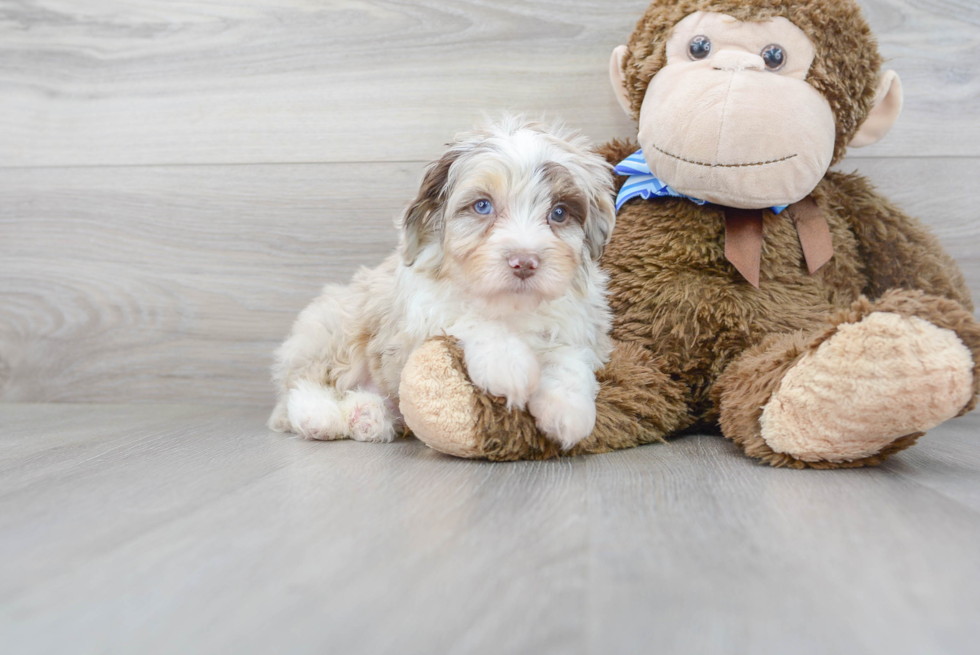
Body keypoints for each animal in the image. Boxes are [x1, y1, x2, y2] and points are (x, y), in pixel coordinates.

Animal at [266, 115, 620, 448]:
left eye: (559, 213)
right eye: (482, 206)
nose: (524, 262)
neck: (510, 308)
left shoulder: (579, 325)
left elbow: (568, 358)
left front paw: (569, 411)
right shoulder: (420, 315)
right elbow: (470, 318)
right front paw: (509, 364)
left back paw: (367, 415)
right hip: (332, 329)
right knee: (303, 385)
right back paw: (320, 416)